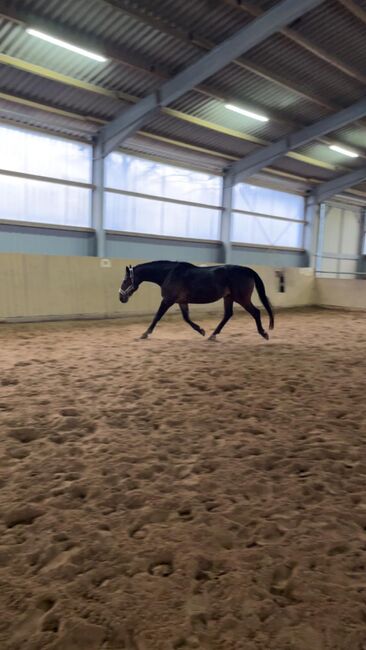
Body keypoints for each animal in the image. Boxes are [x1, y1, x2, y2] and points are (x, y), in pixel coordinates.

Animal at [118, 258, 274, 340]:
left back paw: (264, 333)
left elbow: (157, 316)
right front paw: (201, 330)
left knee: (255, 312)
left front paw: (145, 334)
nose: (121, 297)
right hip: (228, 298)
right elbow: (186, 318)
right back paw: (212, 335)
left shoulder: (168, 300)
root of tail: (248, 270)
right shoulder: (181, 301)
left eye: (125, 281)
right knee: (228, 315)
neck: (168, 274)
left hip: (241, 298)